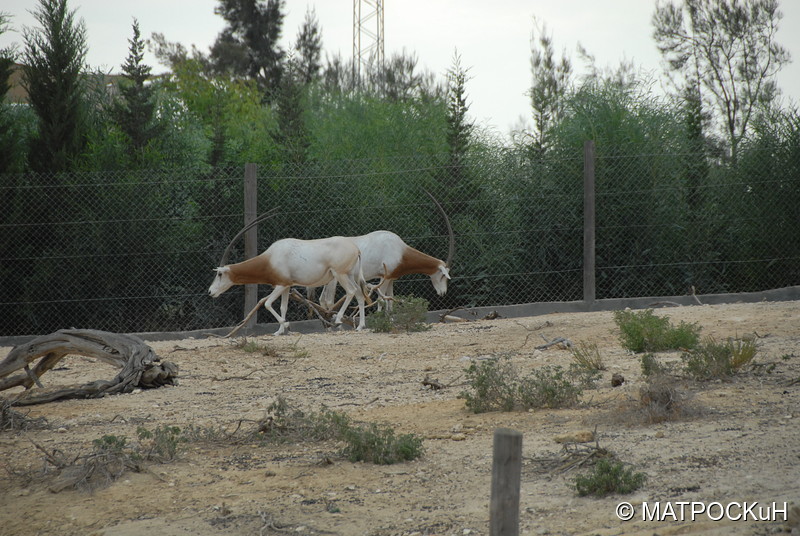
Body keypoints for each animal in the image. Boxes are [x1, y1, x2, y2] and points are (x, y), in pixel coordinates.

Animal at [206, 211, 368, 332]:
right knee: (359, 293)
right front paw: (280, 331)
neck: (270, 258)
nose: (210, 291)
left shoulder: (281, 284)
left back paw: (339, 320)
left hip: (340, 275)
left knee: (351, 291)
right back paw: (360, 326)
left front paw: (286, 325)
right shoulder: (287, 286)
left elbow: (267, 304)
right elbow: (283, 307)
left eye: (219, 274)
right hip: (349, 275)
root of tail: (356, 248)